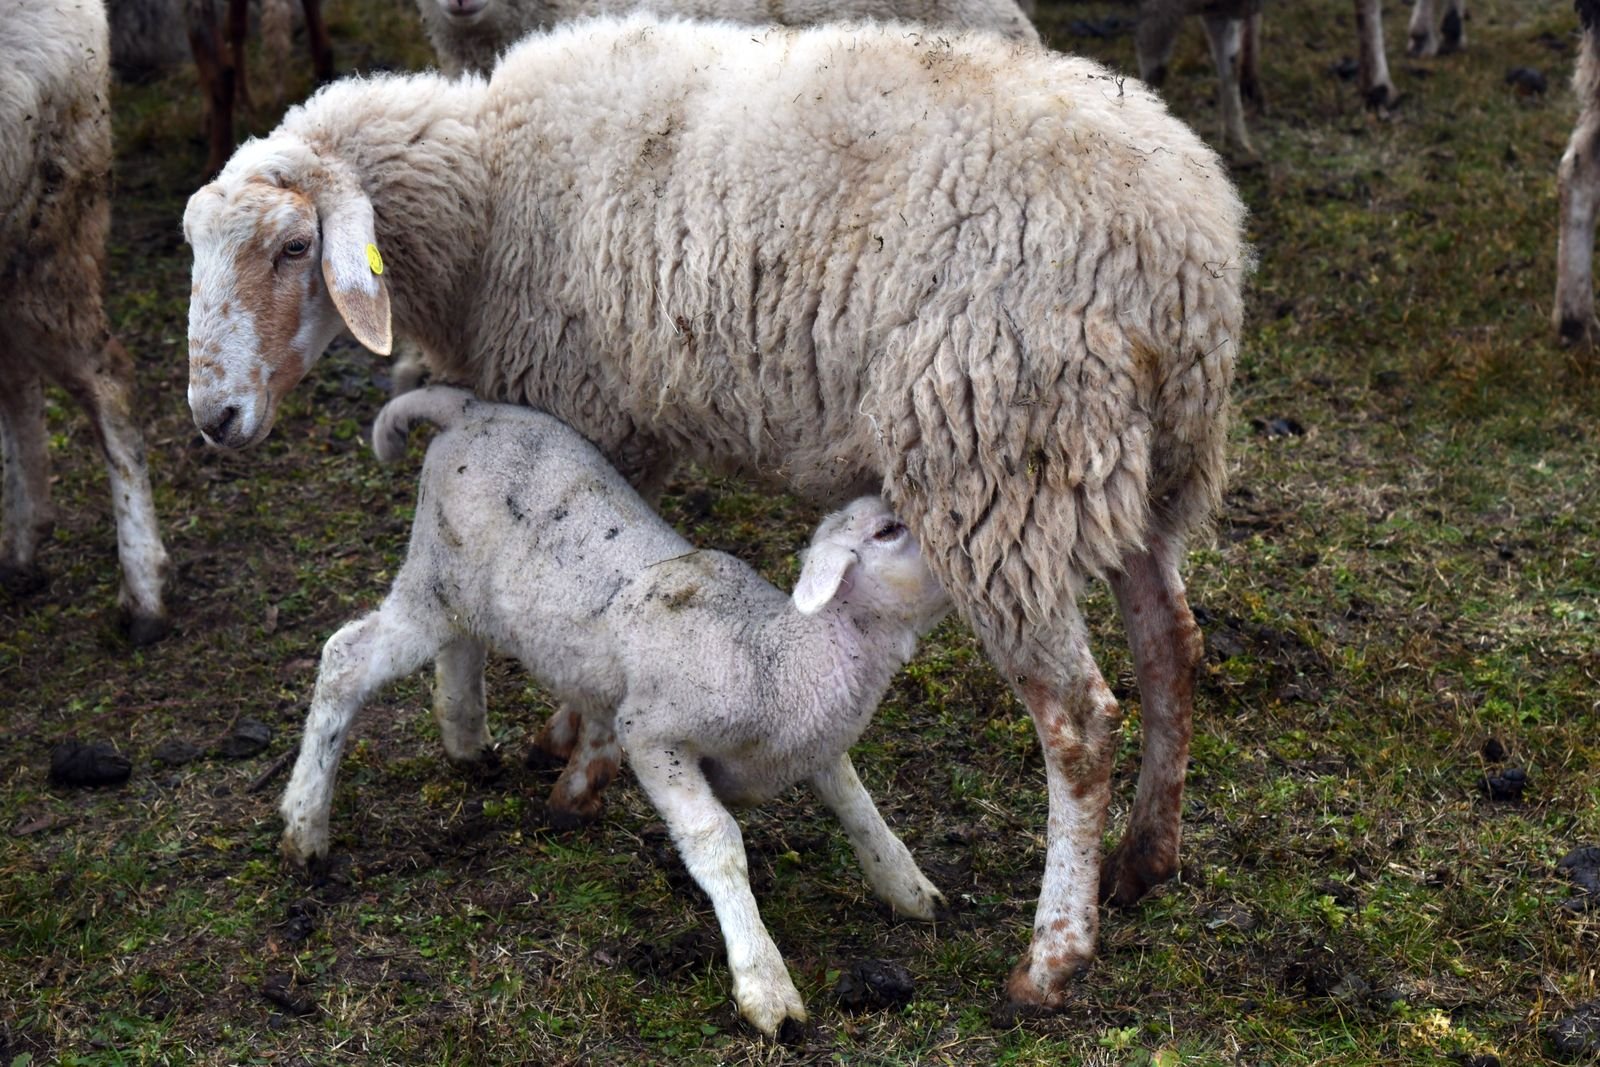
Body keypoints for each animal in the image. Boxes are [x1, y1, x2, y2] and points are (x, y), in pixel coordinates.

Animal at [279, 385, 950, 1034]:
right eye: (888, 532)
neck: (776, 655)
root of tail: (467, 408)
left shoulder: (816, 744)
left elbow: (856, 803)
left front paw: (907, 886)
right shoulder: (653, 735)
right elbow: (716, 840)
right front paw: (765, 985)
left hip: (465, 598)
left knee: (461, 650)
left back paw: (467, 741)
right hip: (432, 581)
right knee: (345, 659)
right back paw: (305, 824)